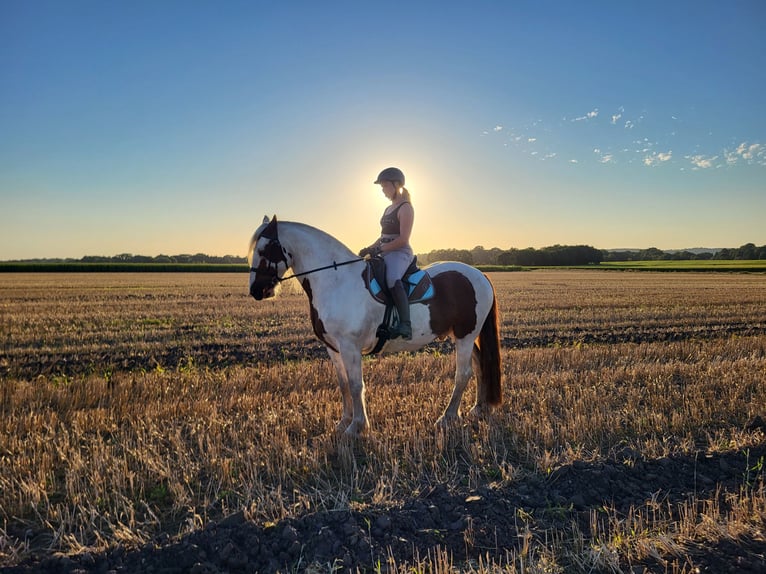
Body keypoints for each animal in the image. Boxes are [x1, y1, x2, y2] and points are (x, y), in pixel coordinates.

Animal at [250, 216, 504, 436]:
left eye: (266, 248)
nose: (256, 290)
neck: (336, 281)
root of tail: (480, 274)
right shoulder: (333, 348)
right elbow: (343, 384)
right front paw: (343, 423)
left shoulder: (350, 346)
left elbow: (355, 385)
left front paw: (357, 427)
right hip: (465, 336)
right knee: (480, 366)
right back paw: (478, 408)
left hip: (465, 335)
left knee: (463, 374)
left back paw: (447, 417)